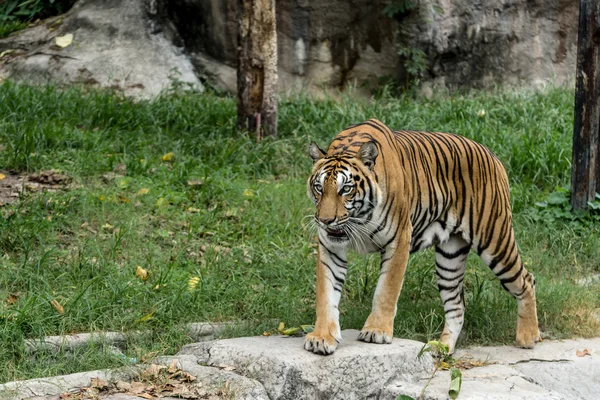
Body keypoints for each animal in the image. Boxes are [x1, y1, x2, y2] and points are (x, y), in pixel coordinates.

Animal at [304, 117, 540, 354]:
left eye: (346, 189)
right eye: (318, 188)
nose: (325, 220)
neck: (359, 219)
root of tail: (491, 153)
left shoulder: (399, 240)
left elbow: (386, 290)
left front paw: (377, 331)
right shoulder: (331, 247)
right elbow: (326, 295)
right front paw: (321, 337)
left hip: (494, 240)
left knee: (526, 280)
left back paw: (529, 336)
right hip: (450, 258)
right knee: (456, 305)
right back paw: (442, 348)